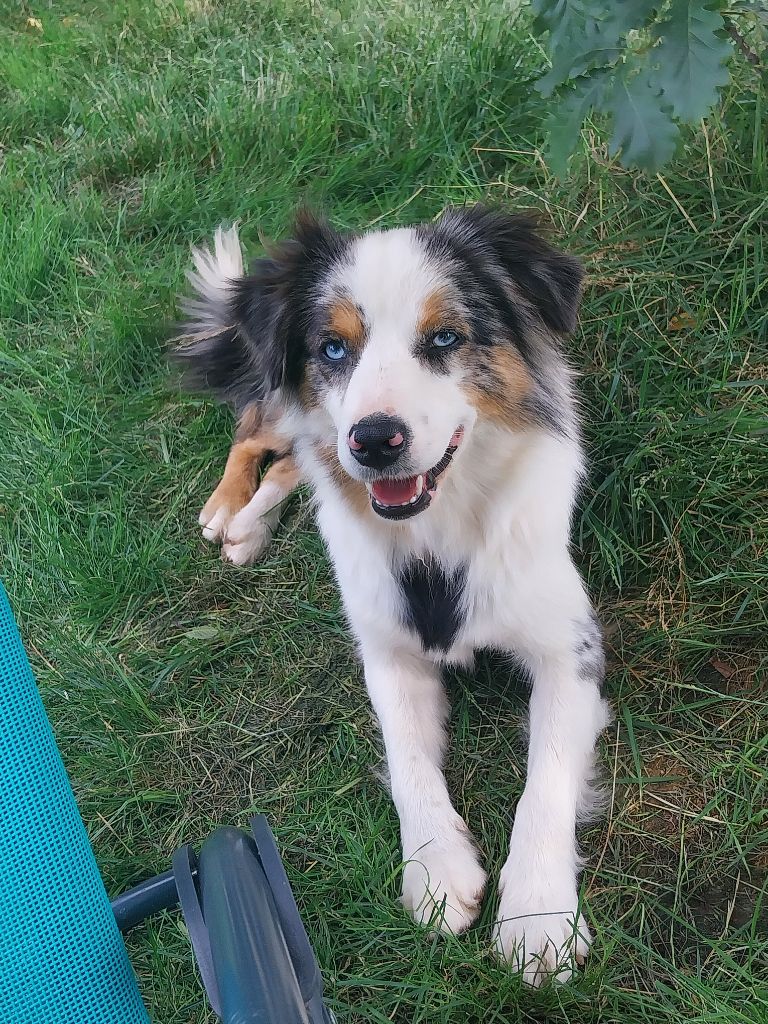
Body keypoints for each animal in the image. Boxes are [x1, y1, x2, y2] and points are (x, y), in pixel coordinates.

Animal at [176, 207, 614, 983]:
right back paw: (233, 514)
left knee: (291, 456)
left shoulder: (571, 648)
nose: (375, 440)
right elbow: (407, 757)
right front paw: (437, 872)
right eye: (332, 347)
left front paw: (537, 917)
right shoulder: (386, 650)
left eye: (444, 338)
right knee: (265, 430)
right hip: (291, 408)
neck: (436, 535)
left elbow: (547, 781)